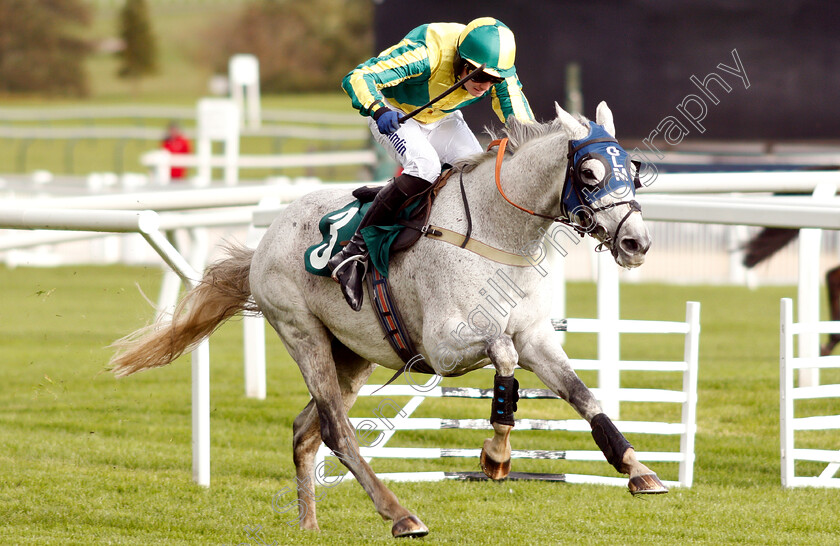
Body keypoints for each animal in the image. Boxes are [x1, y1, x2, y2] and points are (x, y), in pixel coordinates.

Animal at [111, 101, 668, 536]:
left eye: (633, 170)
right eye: (591, 173)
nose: (637, 244)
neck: (498, 233)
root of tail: (263, 244)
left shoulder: (535, 336)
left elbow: (583, 395)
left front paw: (637, 469)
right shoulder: (446, 348)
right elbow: (504, 359)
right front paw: (496, 456)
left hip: (353, 356)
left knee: (305, 429)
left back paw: (309, 524)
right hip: (302, 334)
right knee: (337, 431)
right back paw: (401, 515)